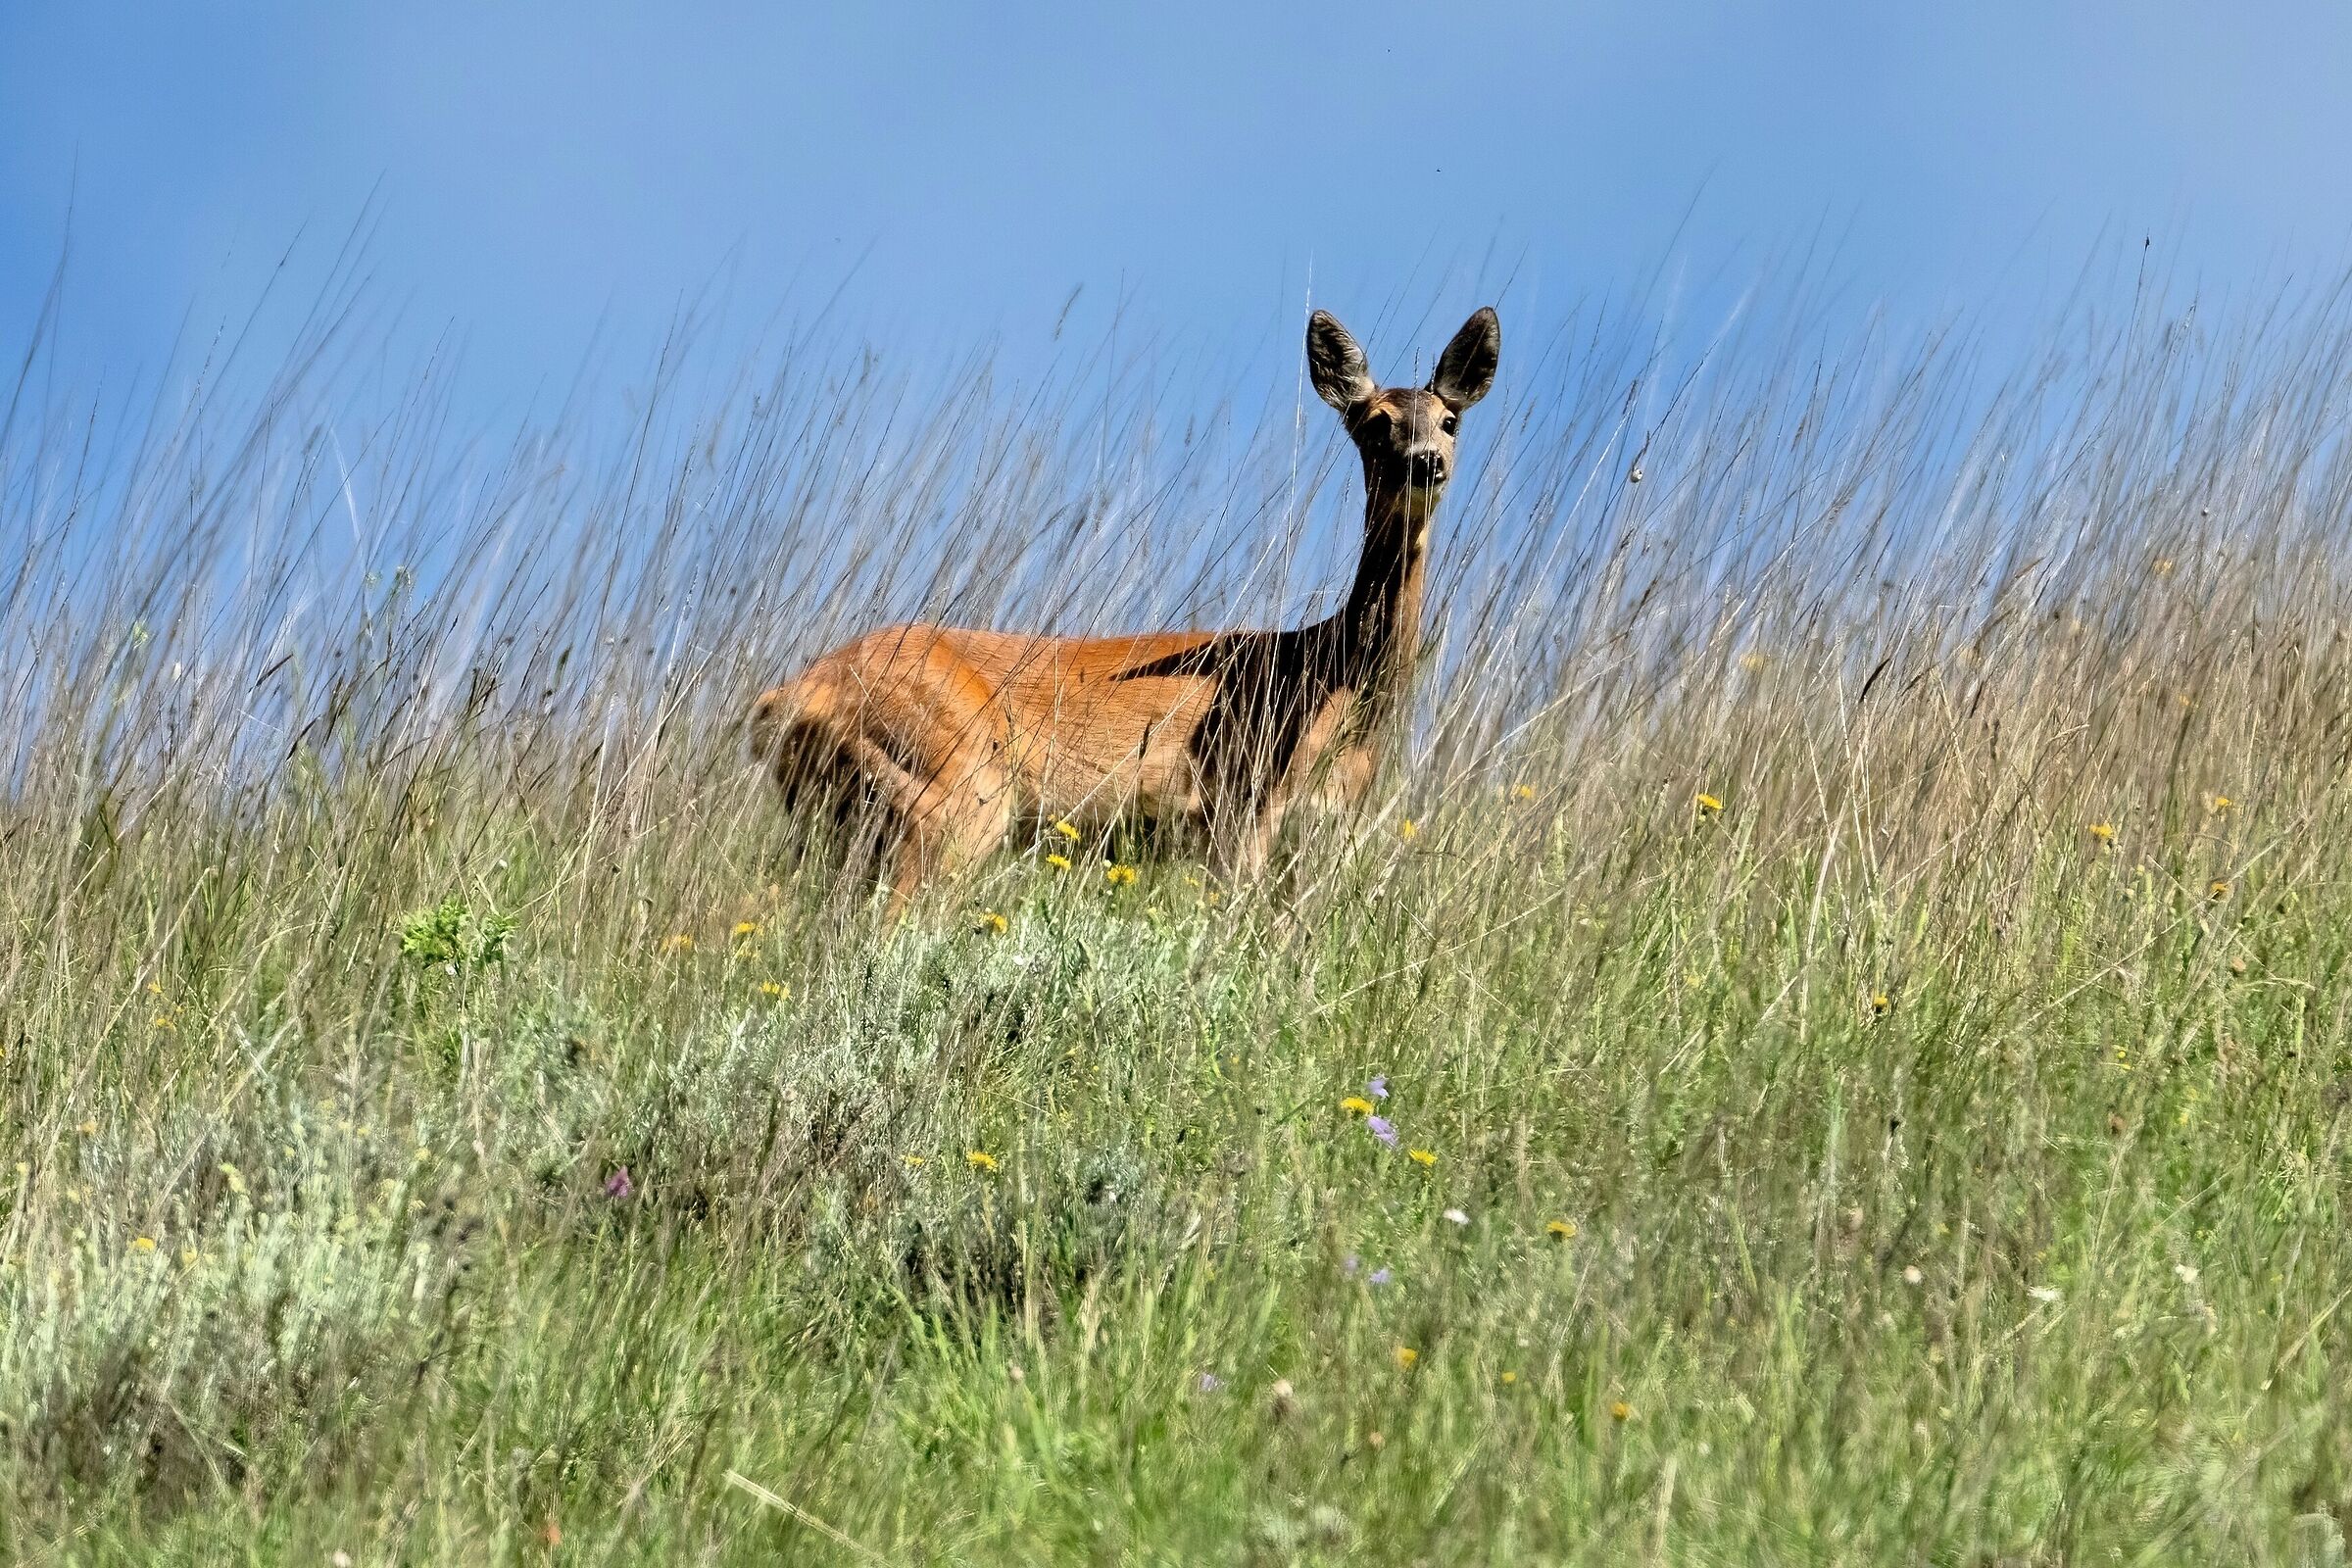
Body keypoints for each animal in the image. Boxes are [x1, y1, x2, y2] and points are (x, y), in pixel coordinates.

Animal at [748, 305, 1500, 915]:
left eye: (1449, 420)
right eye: (1372, 425)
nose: (1424, 462)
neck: (1337, 676)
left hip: (840, 822)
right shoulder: (1241, 811)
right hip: (948, 796)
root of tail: (795, 692)